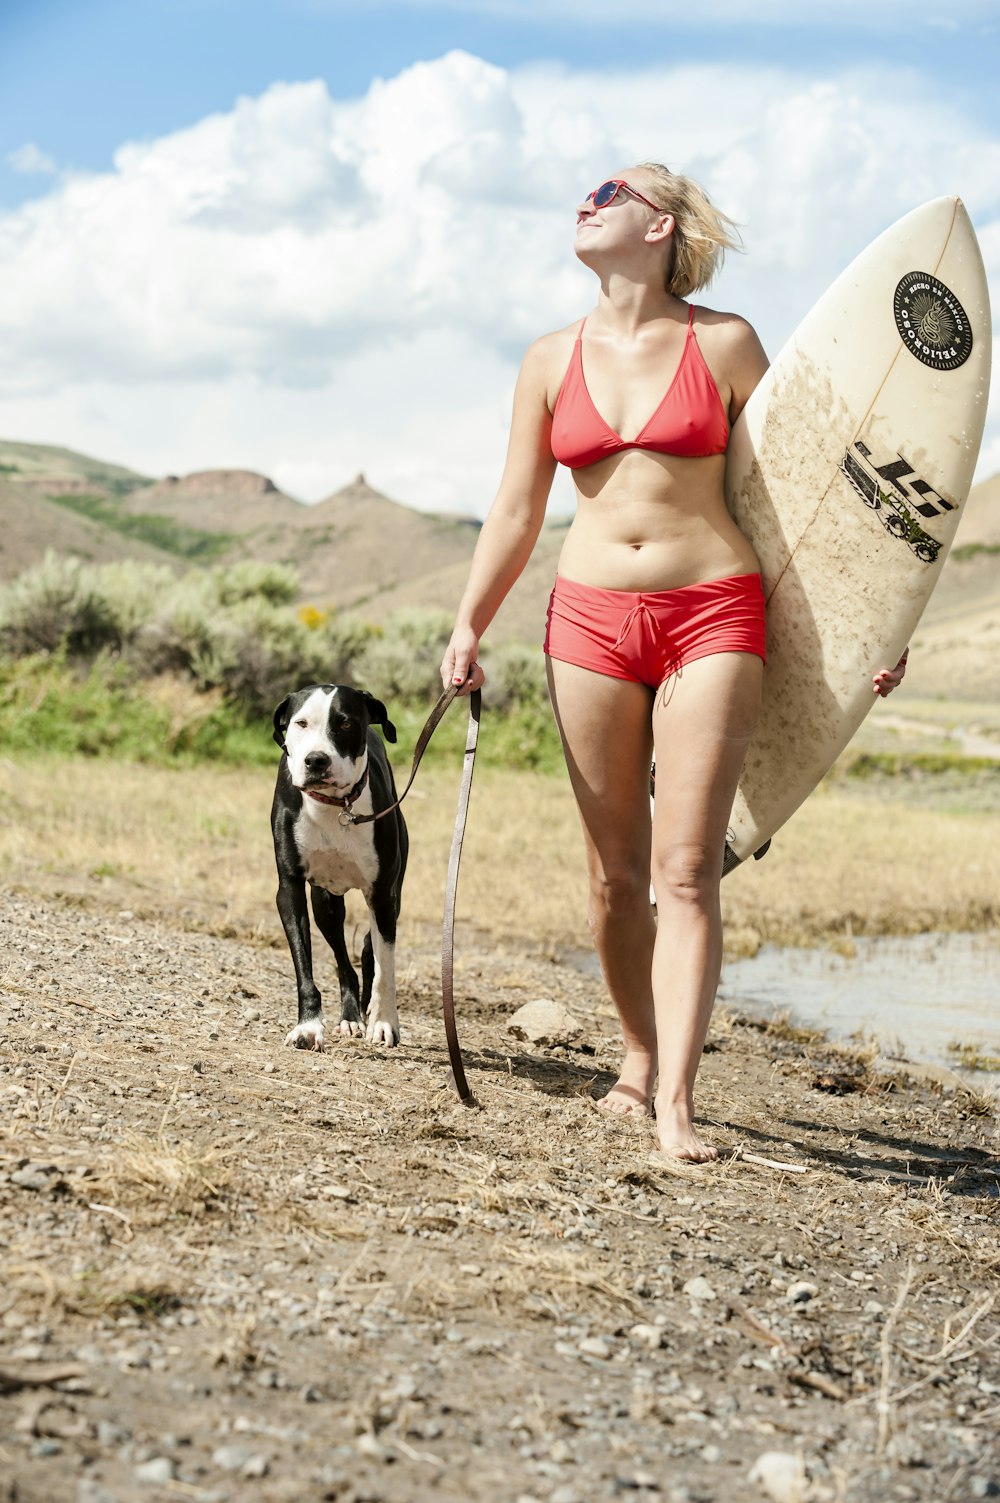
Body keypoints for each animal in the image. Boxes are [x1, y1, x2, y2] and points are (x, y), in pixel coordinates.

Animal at [269, 685, 406, 1052]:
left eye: (345, 723)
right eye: (301, 723)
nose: (316, 760)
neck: (334, 806)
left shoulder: (382, 893)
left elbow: (385, 968)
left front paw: (384, 1023)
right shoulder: (290, 889)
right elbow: (304, 964)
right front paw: (308, 1026)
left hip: (391, 894)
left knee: (370, 949)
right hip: (325, 903)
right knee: (346, 963)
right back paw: (350, 1017)